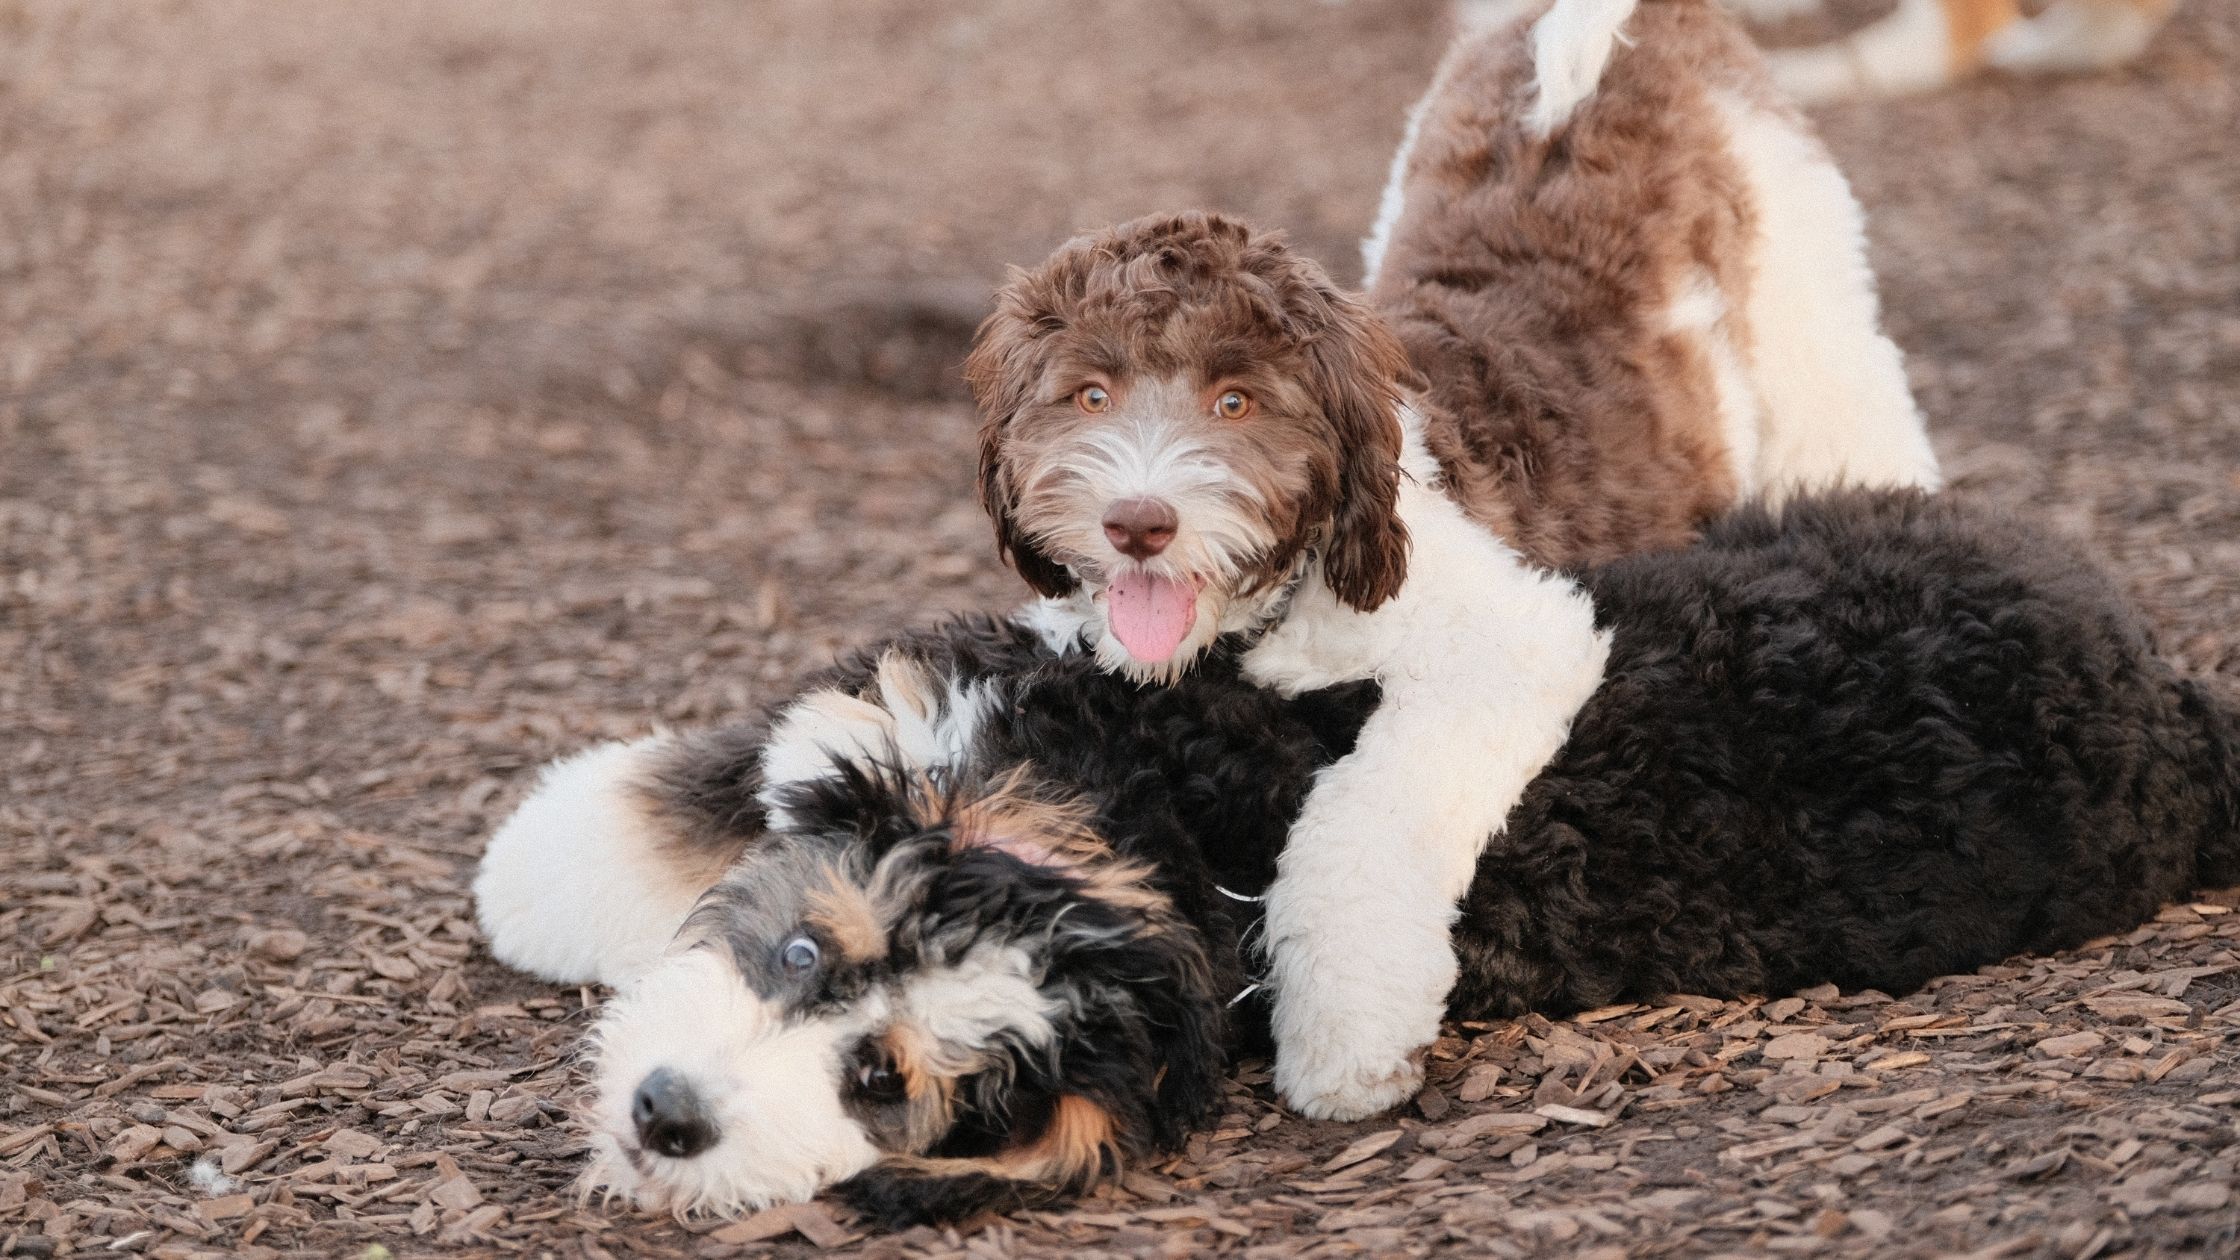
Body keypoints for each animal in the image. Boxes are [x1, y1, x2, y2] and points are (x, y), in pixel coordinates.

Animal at [477, 493, 2240, 1228]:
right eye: (800, 958)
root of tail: (2177, 705)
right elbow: (719, 786)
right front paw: (541, 867)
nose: (668, 1115)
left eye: (883, 1087)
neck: (1152, 824)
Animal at [990, 0, 1953, 1116]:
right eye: (1089, 394)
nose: (1137, 523)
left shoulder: (1510, 640)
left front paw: (1346, 1036)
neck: (1278, 599)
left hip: (1808, 310)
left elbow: (1363, 820)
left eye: (1235, 401)